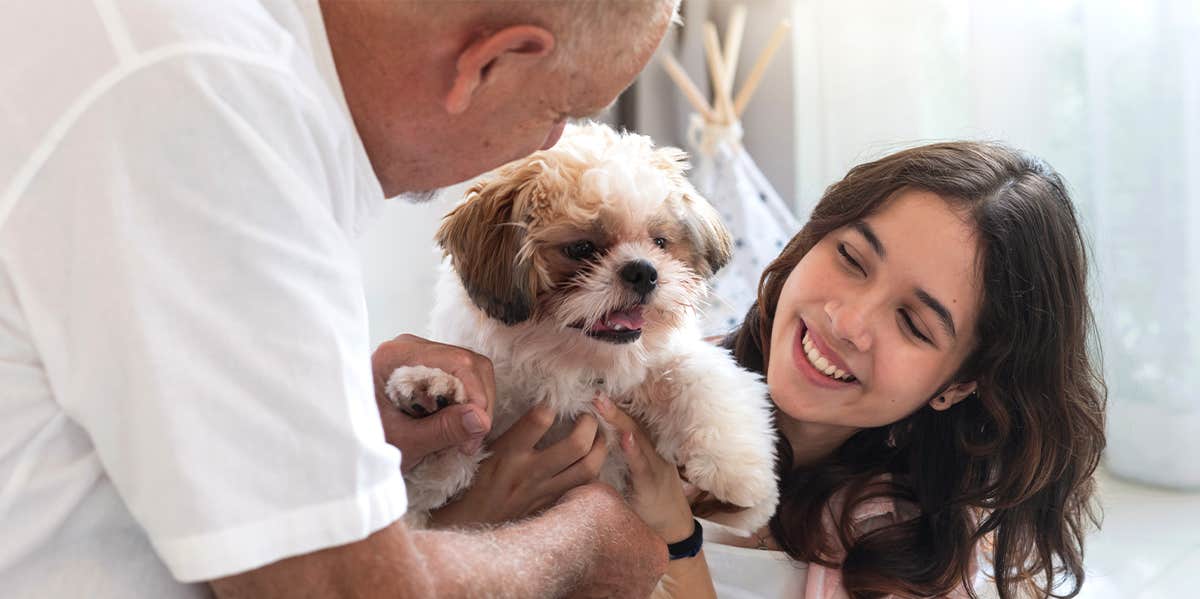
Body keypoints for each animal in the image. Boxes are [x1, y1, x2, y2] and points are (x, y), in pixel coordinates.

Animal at [386, 123, 777, 535]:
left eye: (659, 242)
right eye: (582, 249)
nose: (643, 270)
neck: (574, 363)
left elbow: (701, 375)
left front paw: (734, 470)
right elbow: (427, 489)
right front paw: (434, 393)